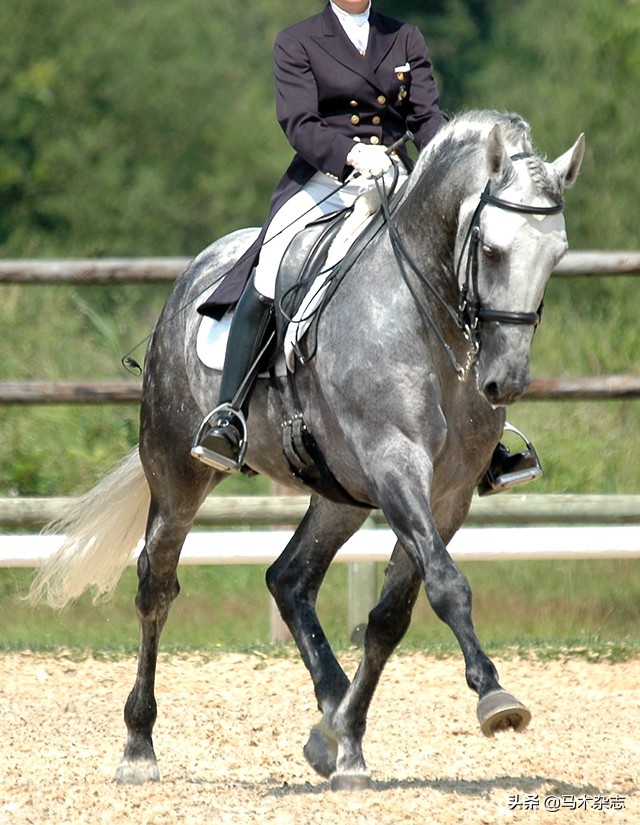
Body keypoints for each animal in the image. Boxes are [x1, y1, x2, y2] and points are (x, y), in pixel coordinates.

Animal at [33, 108, 584, 784]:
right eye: (490, 249)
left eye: (557, 255)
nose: (505, 381)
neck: (425, 321)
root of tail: (193, 275)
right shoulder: (395, 465)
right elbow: (447, 585)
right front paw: (494, 697)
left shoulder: (446, 496)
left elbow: (392, 615)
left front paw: (347, 741)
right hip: (178, 472)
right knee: (156, 587)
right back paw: (139, 747)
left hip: (339, 495)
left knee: (289, 578)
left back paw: (329, 725)